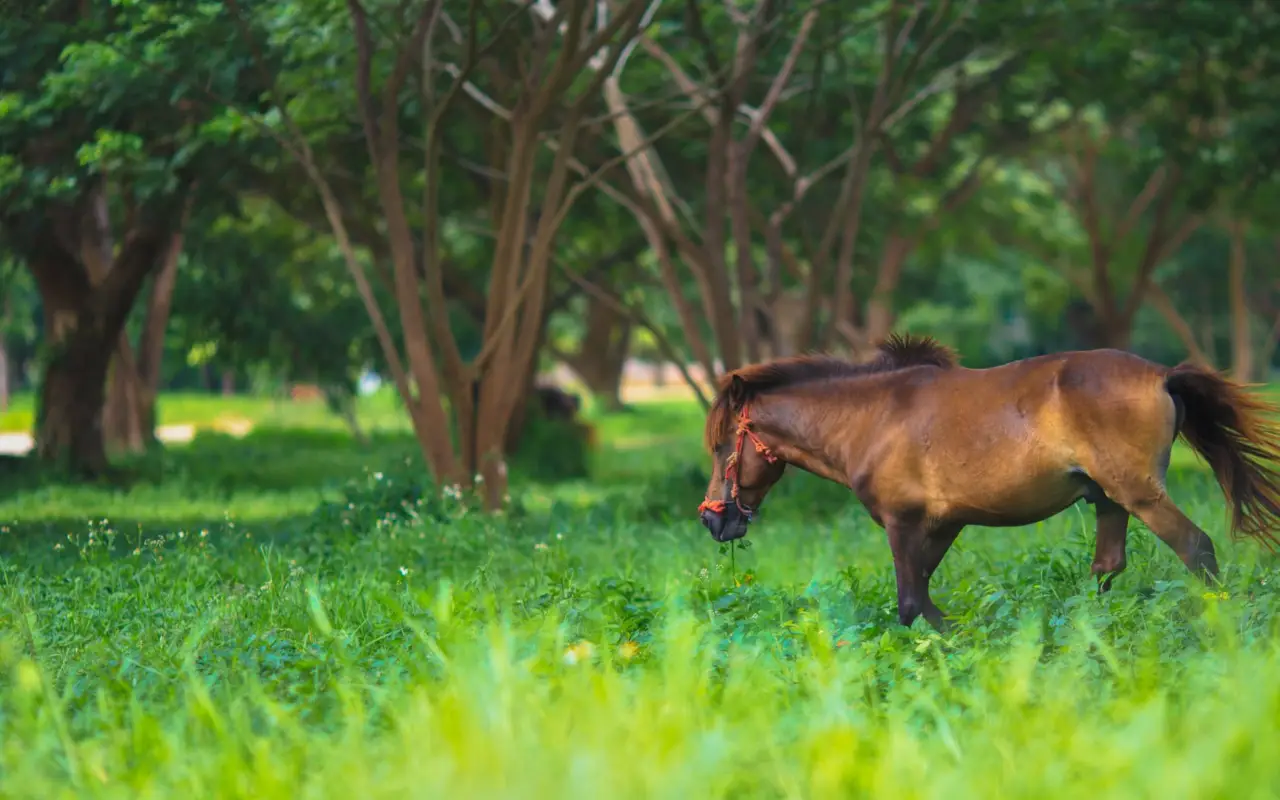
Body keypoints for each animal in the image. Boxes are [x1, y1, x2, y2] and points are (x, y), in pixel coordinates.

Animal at [697, 334, 1280, 630]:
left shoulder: (902, 524)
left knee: (1196, 547)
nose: (712, 520)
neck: (871, 418)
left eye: (723, 447)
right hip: (1109, 500)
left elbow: (912, 603)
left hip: (1140, 495)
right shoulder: (943, 525)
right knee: (1106, 568)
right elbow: (922, 595)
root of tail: (1163, 375)